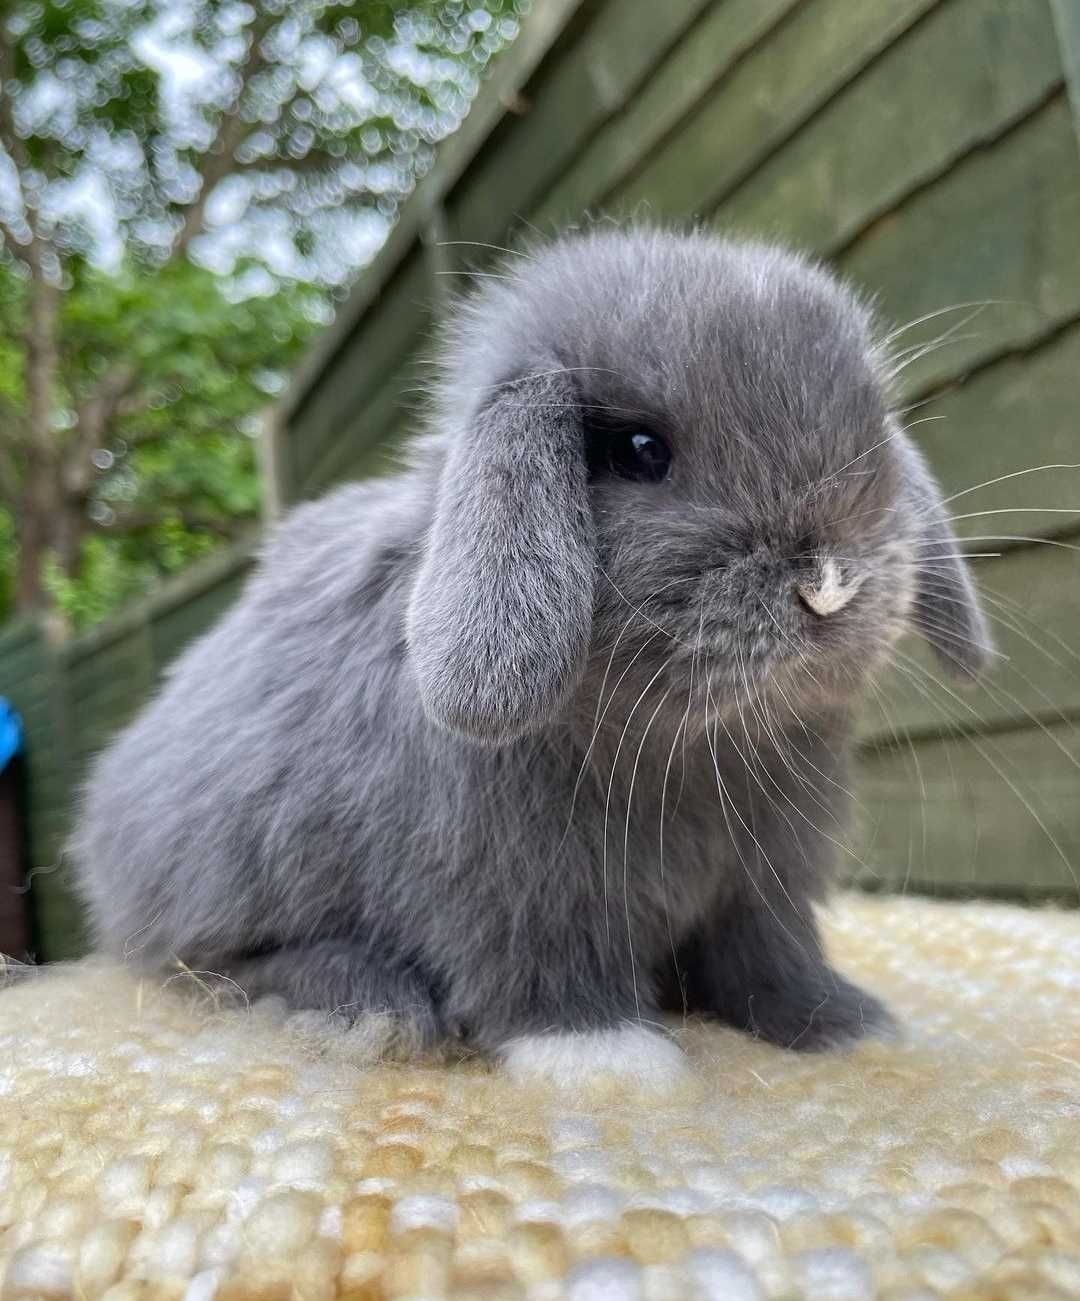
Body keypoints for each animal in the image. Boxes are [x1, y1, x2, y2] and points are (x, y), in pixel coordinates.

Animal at [71, 228, 994, 1082]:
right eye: (639, 451)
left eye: (875, 433)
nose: (829, 584)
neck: (689, 745)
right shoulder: (513, 889)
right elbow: (542, 975)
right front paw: (609, 1060)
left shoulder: (760, 885)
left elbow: (772, 959)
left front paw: (846, 1025)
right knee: (223, 963)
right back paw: (366, 1009)